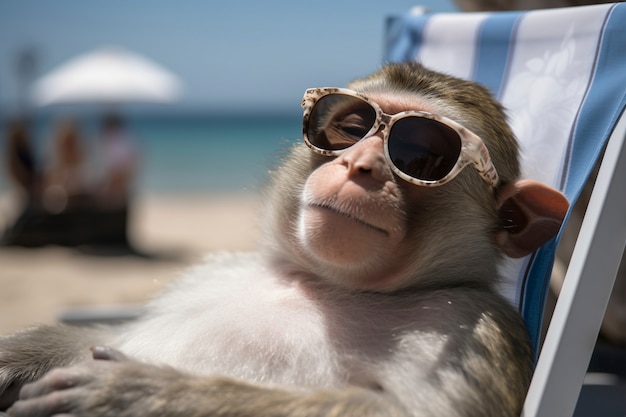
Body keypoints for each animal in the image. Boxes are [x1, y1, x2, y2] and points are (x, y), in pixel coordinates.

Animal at [0, 62, 564, 416]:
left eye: (423, 153)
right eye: (352, 126)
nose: (358, 165)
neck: (321, 283)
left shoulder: (472, 326)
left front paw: (139, 393)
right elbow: (111, 335)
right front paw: (19, 356)